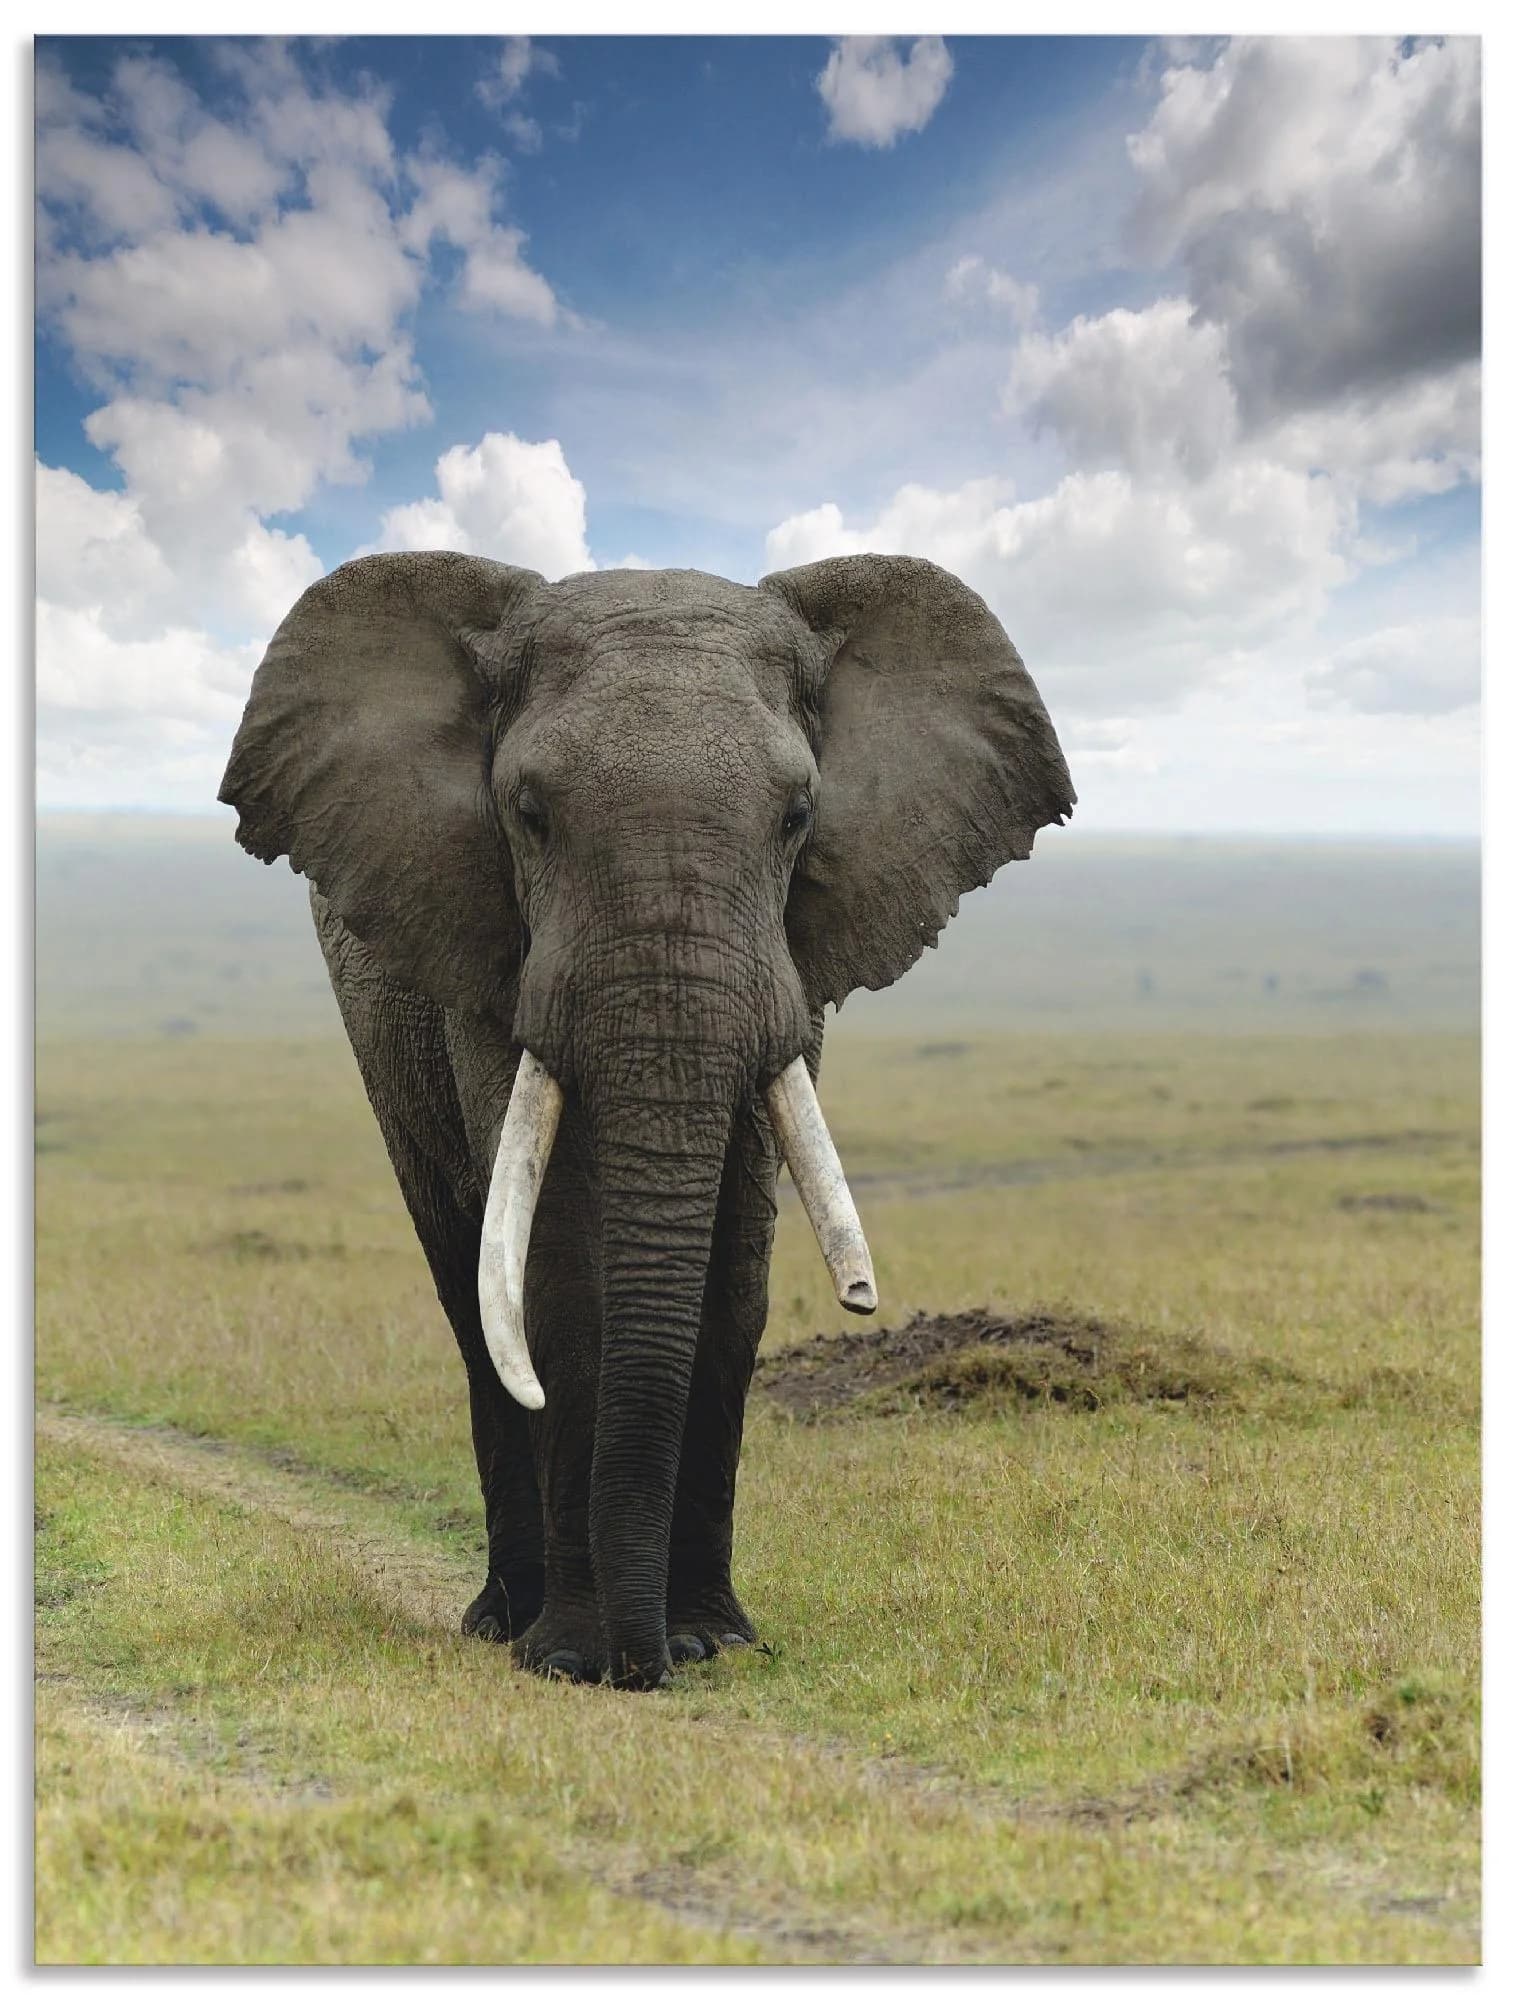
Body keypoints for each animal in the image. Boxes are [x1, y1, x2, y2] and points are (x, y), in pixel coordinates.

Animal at [218, 551, 1074, 1689]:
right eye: (529, 813)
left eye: (797, 816)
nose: (646, 1662)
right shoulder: (488, 952)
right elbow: (552, 1269)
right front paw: (572, 1657)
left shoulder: (793, 968)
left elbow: (735, 1268)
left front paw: (715, 1638)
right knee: (467, 1285)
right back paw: (502, 1619)